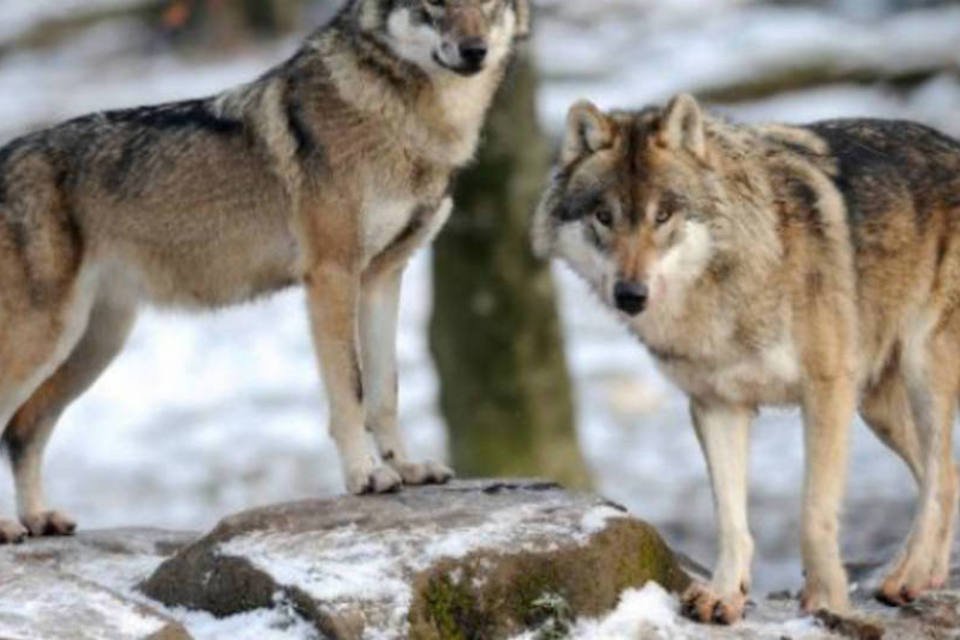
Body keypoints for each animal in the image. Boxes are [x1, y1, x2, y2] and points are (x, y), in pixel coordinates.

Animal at [0, 0, 532, 544]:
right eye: (436, 4)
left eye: (487, 5)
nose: (474, 51)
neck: (407, 121)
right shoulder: (332, 277)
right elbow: (351, 391)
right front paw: (365, 476)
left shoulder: (384, 278)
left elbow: (386, 391)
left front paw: (407, 468)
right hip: (43, 340)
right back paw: (8, 526)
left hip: (93, 346)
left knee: (23, 429)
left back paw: (38, 518)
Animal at [532, 96, 960, 624]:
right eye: (603, 216)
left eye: (663, 214)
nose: (630, 294)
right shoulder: (717, 404)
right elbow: (730, 517)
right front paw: (723, 595)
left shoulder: (826, 391)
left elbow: (815, 514)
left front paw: (826, 602)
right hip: (877, 408)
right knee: (949, 475)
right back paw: (925, 575)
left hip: (922, 372)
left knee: (939, 478)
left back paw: (911, 575)